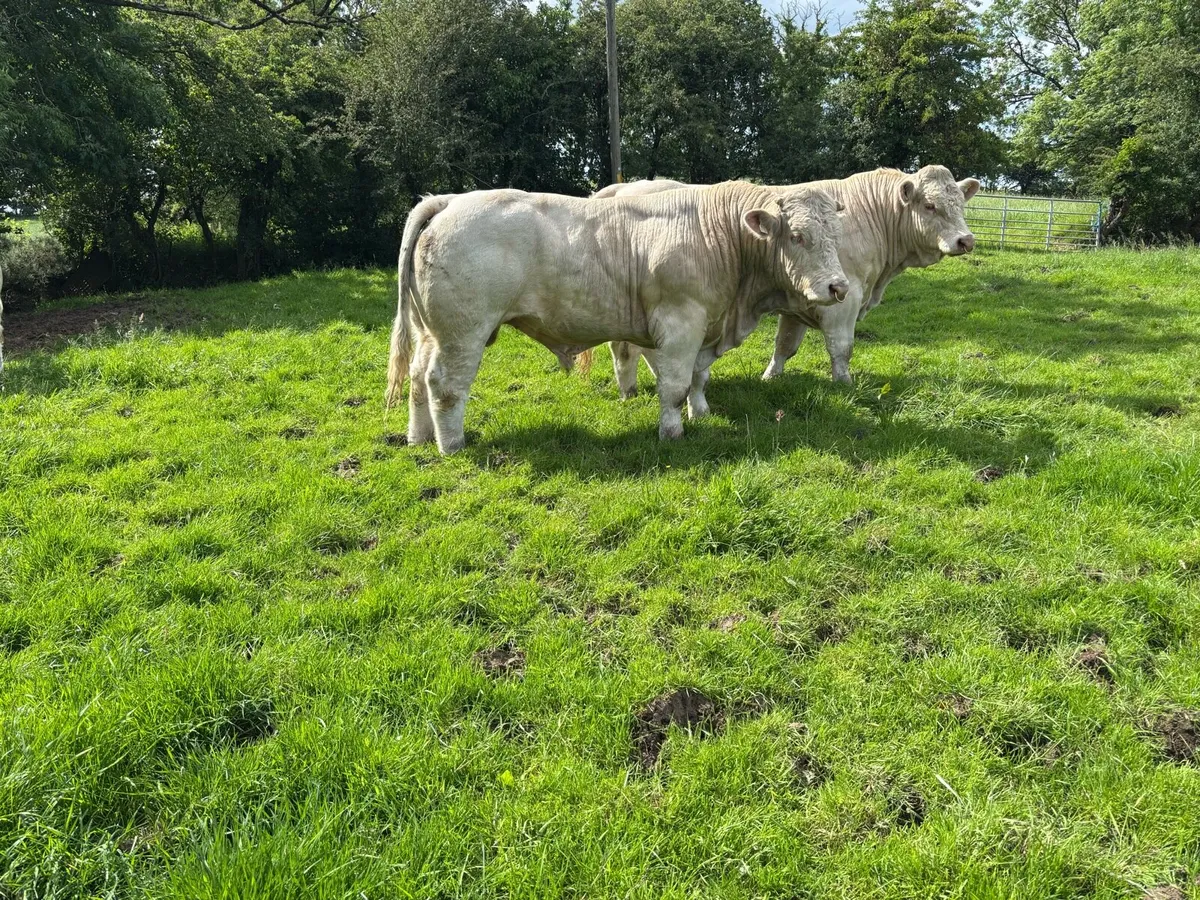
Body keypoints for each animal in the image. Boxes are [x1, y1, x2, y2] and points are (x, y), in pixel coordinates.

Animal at [384, 182, 849, 454]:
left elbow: (699, 377)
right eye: (797, 236)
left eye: (835, 233)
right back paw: (452, 444)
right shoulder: (681, 324)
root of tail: (450, 200)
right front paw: (672, 433)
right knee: (444, 385)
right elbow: (675, 386)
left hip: (432, 332)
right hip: (463, 332)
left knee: (418, 378)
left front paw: (701, 413)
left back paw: (418, 437)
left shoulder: (705, 327)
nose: (839, 287)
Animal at [597, 166, 979, 400]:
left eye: (960, 203)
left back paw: (629, 391)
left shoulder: (801, 302)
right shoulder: (845, 298)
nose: (966, 240)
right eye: (929, 205)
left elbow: (785, 345)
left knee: (623, 348)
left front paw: (770, 377)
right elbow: (841, 348)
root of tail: (621, 187)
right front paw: (844, 383)